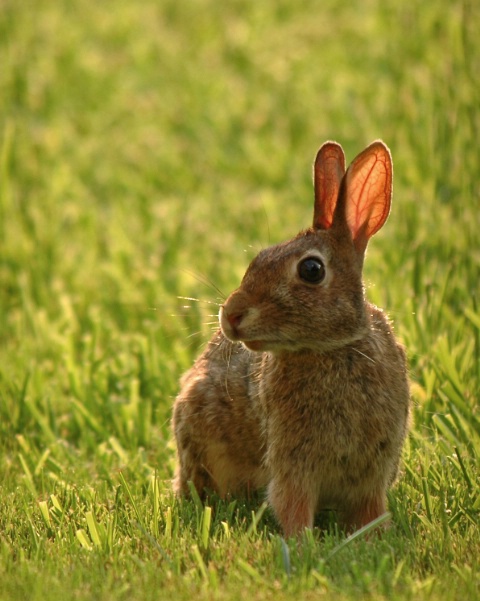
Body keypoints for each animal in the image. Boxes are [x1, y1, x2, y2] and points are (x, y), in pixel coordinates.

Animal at [174, 139, 410, 536]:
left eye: (311, 270)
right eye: (258, 258)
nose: (230, 315)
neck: (332, 348)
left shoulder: (372, 471)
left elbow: (369, 509)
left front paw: (375, 537)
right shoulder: (292, 462)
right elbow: (291, 503)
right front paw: (302, 542)